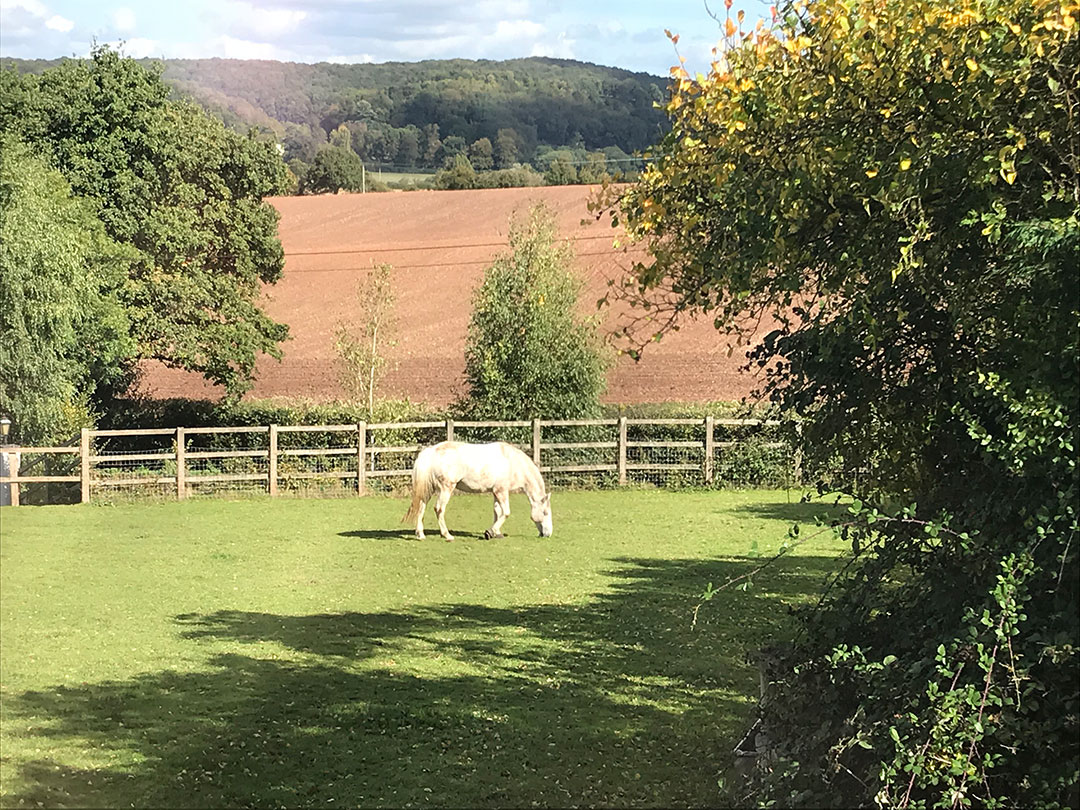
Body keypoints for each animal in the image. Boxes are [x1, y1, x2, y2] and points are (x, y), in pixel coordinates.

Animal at [406, 440, 557, 542]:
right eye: (545, 512)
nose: (548, 533)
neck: (512, 462)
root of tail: (431, 451)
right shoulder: (502, 491)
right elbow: (506, 512)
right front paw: (490, 532)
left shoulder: (496, 492)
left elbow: (497, 512)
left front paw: (496, 533)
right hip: (446, 488)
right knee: (439, 509)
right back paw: (447, 535)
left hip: (428, 489)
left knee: (421, 507)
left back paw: (420, 535)